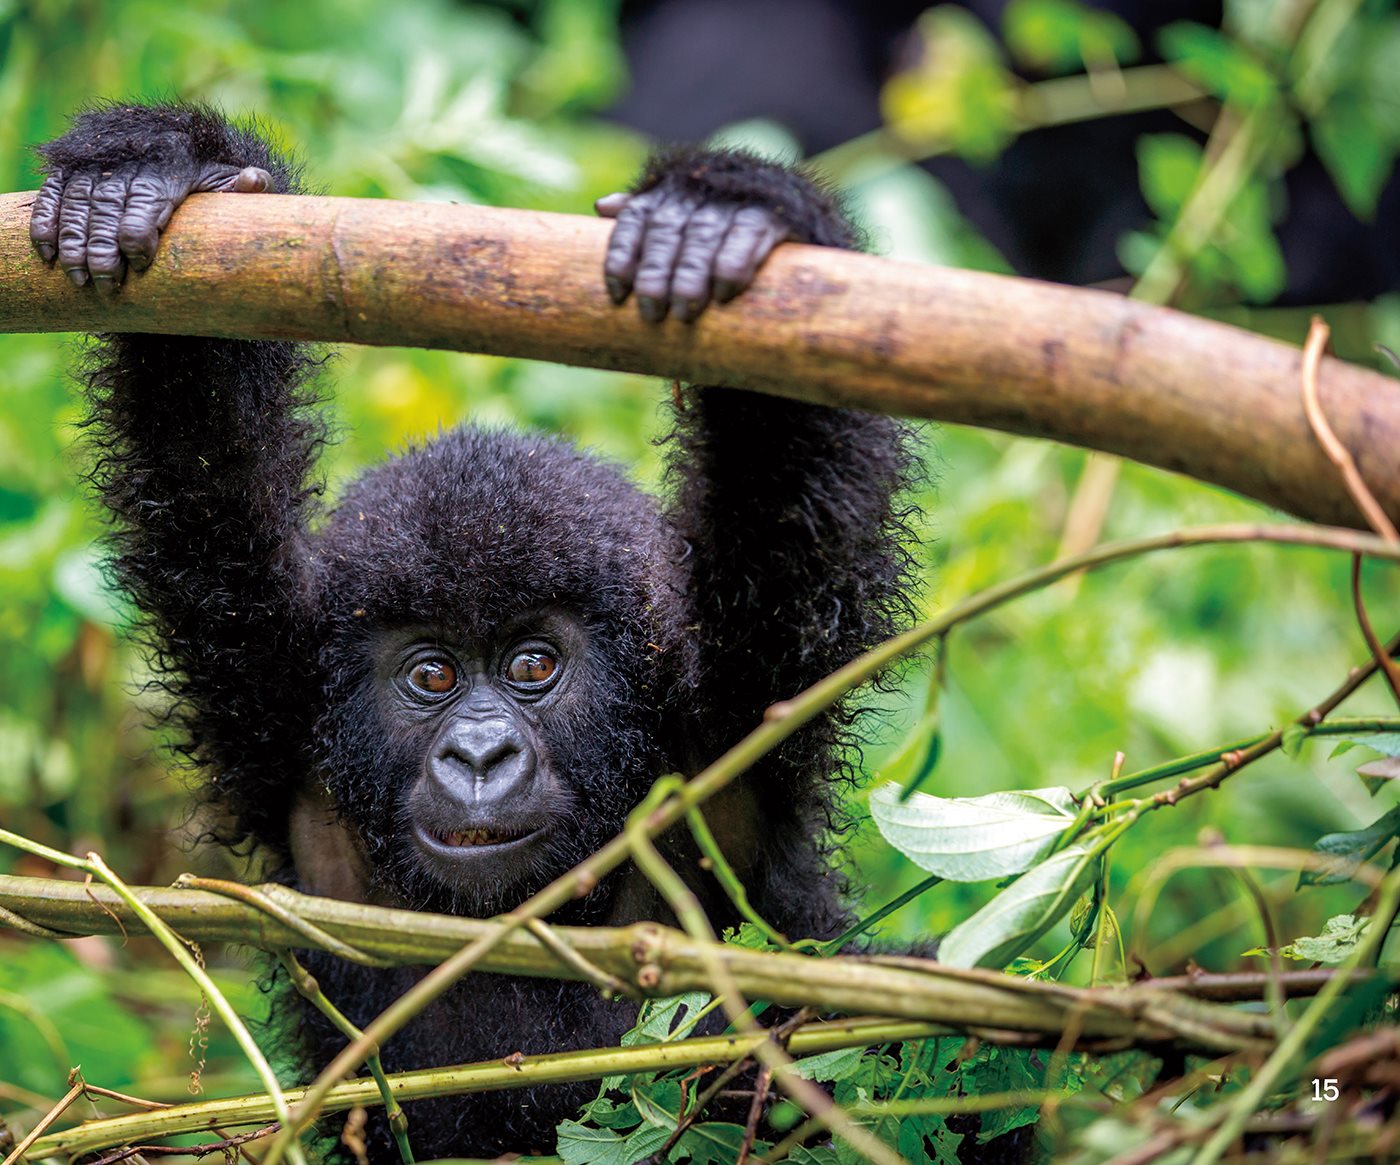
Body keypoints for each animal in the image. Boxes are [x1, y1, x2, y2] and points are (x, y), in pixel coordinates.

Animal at [35, 105, 918, 1159]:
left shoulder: (736, 711)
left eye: (534, 663)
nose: (481, 754)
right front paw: (155, 169)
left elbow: (791, 494)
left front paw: (728, 212)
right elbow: (203, 459)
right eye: (431, 676)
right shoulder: (273, 691)